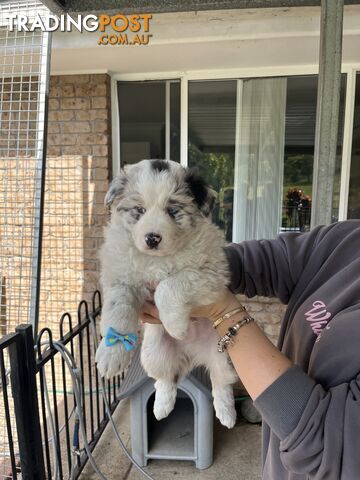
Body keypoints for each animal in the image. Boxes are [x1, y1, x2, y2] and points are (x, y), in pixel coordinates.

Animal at [95, 160, 238, 428]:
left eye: (172, 211)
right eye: (139, 210)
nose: (152, 238)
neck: (157, 259)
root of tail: (191, 354)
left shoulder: (210, 274)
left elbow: (168, 286)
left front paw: (176, 326)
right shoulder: (121, 278)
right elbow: (118, 311)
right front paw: (111, 354)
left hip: (225, 354)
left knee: (221, 381)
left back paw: (227, 414)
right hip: (152, 354)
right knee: (166, 378)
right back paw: (161, 407)